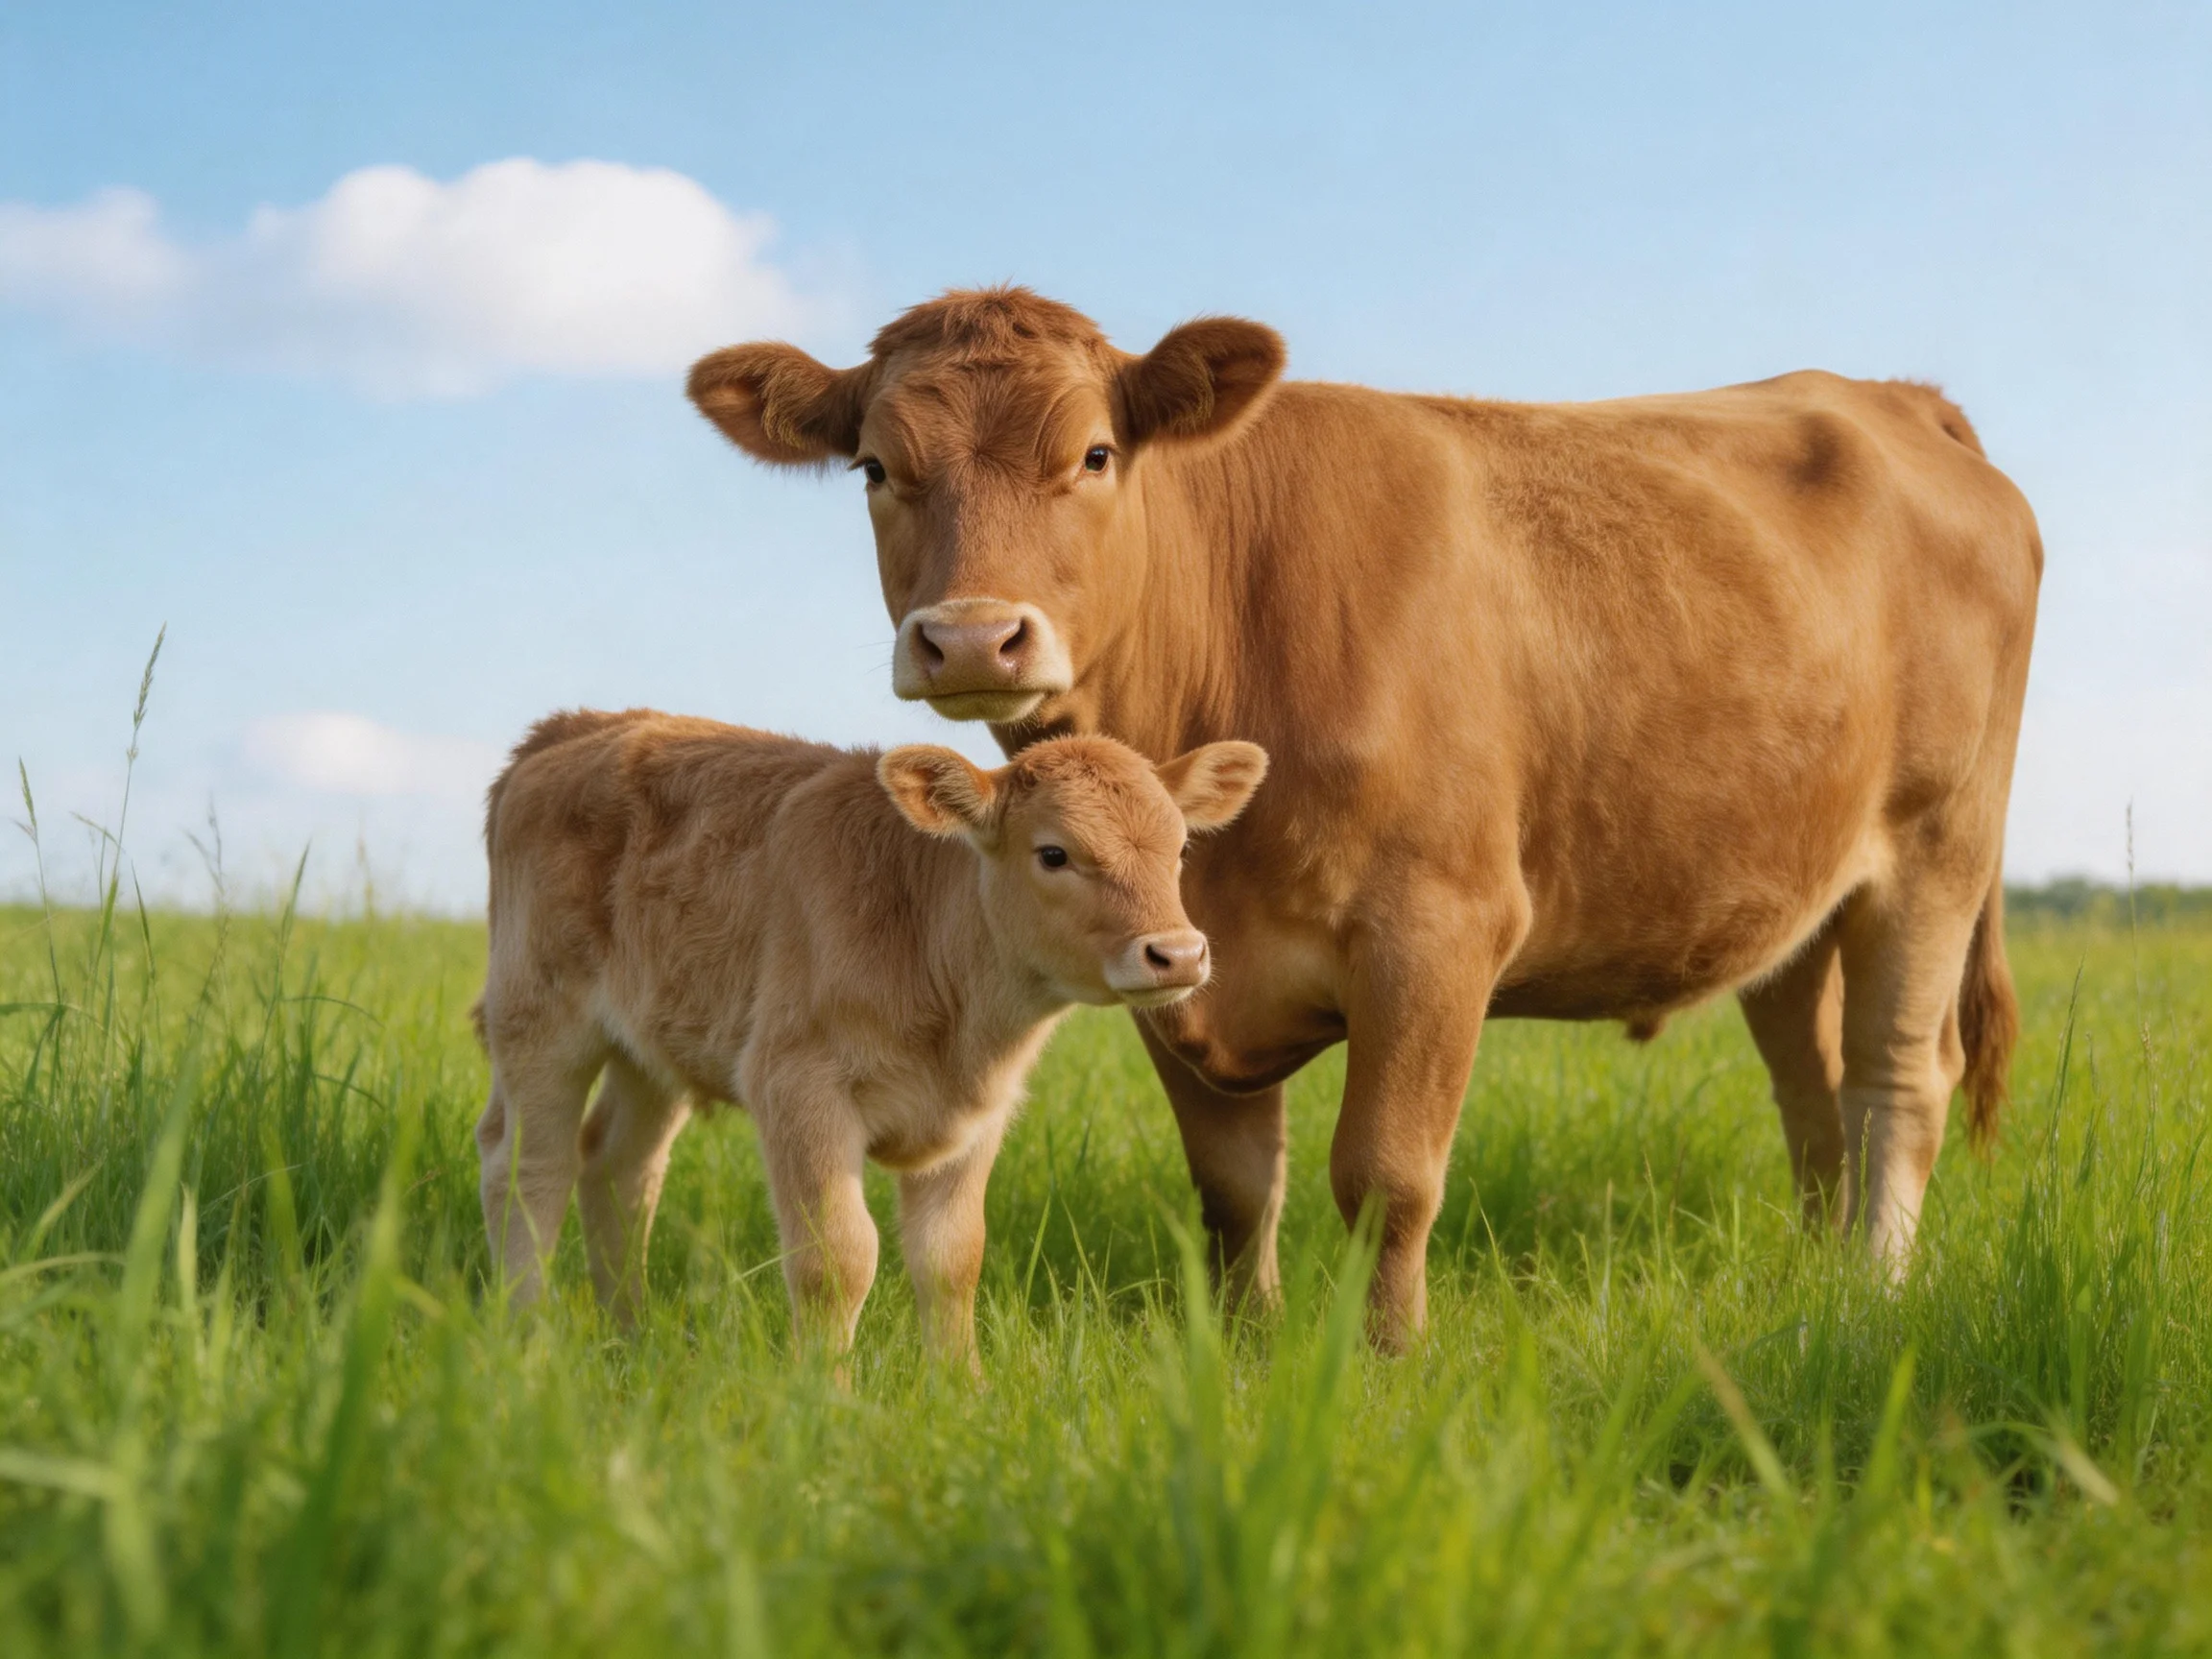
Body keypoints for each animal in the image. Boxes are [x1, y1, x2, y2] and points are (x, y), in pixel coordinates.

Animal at [472, 707, 1267, 1361]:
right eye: (1053, 853)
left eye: (1180, 851)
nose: (1177, 953)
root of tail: (574, 726)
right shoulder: (798, 1087)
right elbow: (839, 1257)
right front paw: (825, 1400)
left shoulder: (979, 1118)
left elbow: (953, 1258)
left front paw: (961, 1391)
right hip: (539, 1020)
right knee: (528, 1171)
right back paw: (524, 1338)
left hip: (653, 1045)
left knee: (618, 1167)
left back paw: (631, 1337)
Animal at [686, 287, 2040, 1347]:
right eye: (875, 467)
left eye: (1096, 455)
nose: (972, 637)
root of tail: (1889, 397)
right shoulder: (1175, 970)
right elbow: (1235, 1191)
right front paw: (1248, 1353)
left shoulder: (1437, 928)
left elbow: (1385, 1178)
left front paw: (1388, 1366)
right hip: (1791, 896)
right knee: (1815, 1096)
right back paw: (1819, 1270)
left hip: (1935, 850)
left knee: (1896, 1080)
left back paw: (1874, 1291)